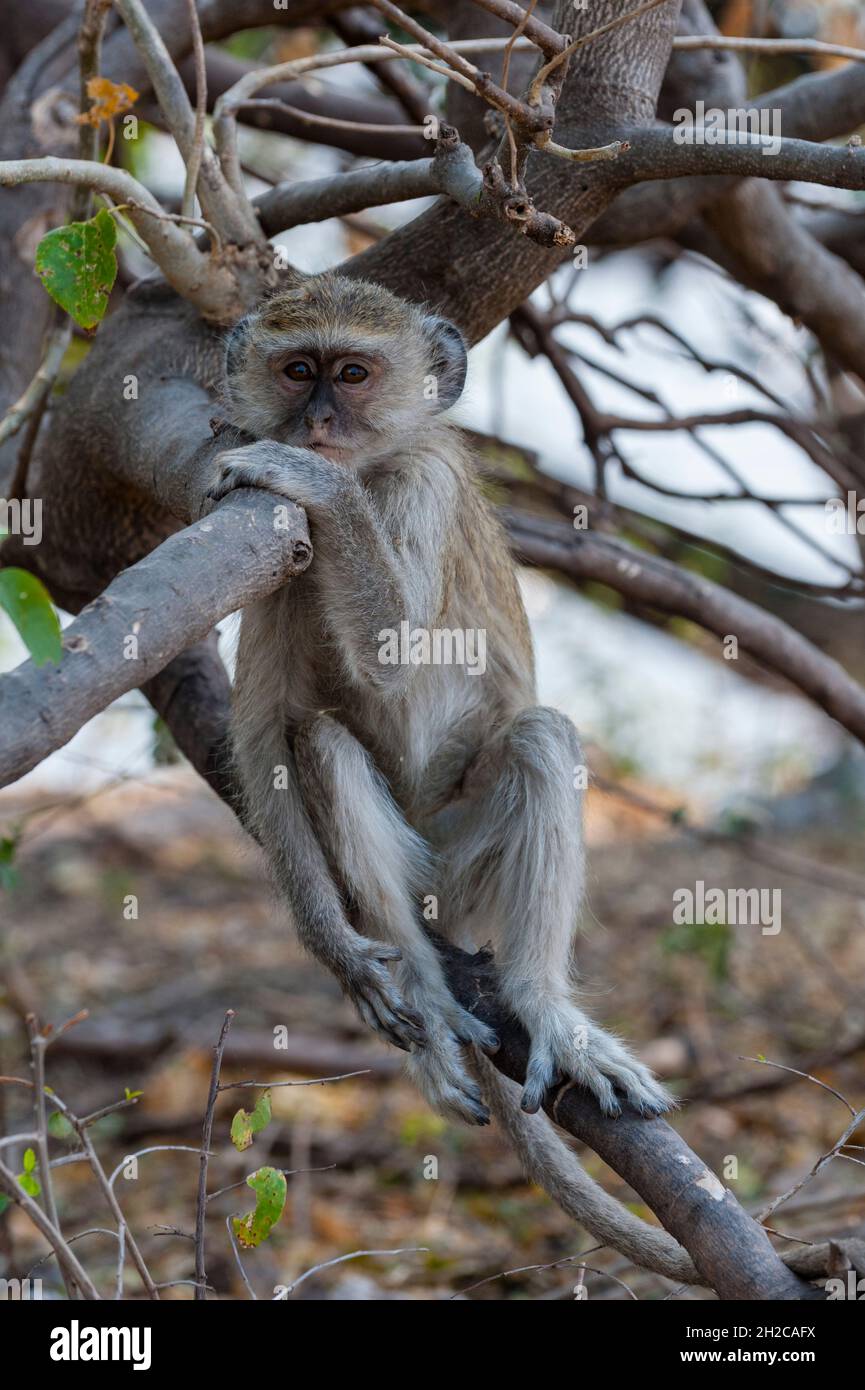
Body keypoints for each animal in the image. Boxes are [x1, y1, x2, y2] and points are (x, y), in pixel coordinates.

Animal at [204, 270, 673, 1130]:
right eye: (298, 371)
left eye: (352, 374)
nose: (317, 424)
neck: (375, 466)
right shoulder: (272, 549)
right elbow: (258, 740)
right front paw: (340, 953)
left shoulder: (423, 483)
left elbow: (393, 653)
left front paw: (314, 476)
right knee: (320, 743)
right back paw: (421, 984)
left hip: (460, 866)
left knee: (540, 738)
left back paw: (540, 1003)